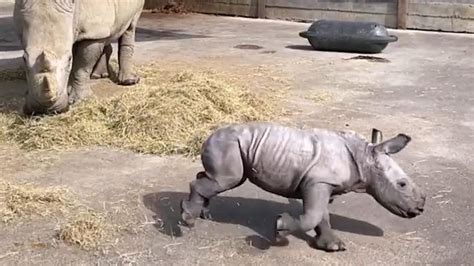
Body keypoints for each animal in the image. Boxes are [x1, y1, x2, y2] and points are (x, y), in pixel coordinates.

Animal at [14, 0, 144, 115]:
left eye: (68, 60)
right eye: (24, 59)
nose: (45, 109)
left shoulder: (92, 30)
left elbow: (82, 66)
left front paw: (80, 99)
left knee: (130, 27)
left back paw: (129, 81)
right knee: (106, 34)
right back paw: (98, 76)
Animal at [181, 122, 426, 251]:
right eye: (402, 184)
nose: (420, 208)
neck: (365, 156)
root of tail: (208, 135)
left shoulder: (324, 184)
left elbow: (322, 216)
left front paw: (333, 246)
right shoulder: (317, 182)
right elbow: (313, 215)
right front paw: (280, 229)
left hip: (234, 146)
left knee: (216, 179)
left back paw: (203, 214)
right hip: (228, 144)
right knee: (227, 180)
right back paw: (188, 220)